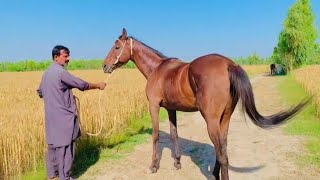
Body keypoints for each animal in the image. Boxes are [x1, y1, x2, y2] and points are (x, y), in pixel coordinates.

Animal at [104, 28, 308, 179]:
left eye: (117, 47)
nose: (105, 66)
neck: (158, 70)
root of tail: (229, 64)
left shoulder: (154, 106)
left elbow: (155, 136)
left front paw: (154, 166)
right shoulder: (171, 109)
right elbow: (174, 134)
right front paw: (177, 162)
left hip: (211, 121)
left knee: (223, 155)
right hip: (224, 120)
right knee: (222, 149)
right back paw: (215, 173)